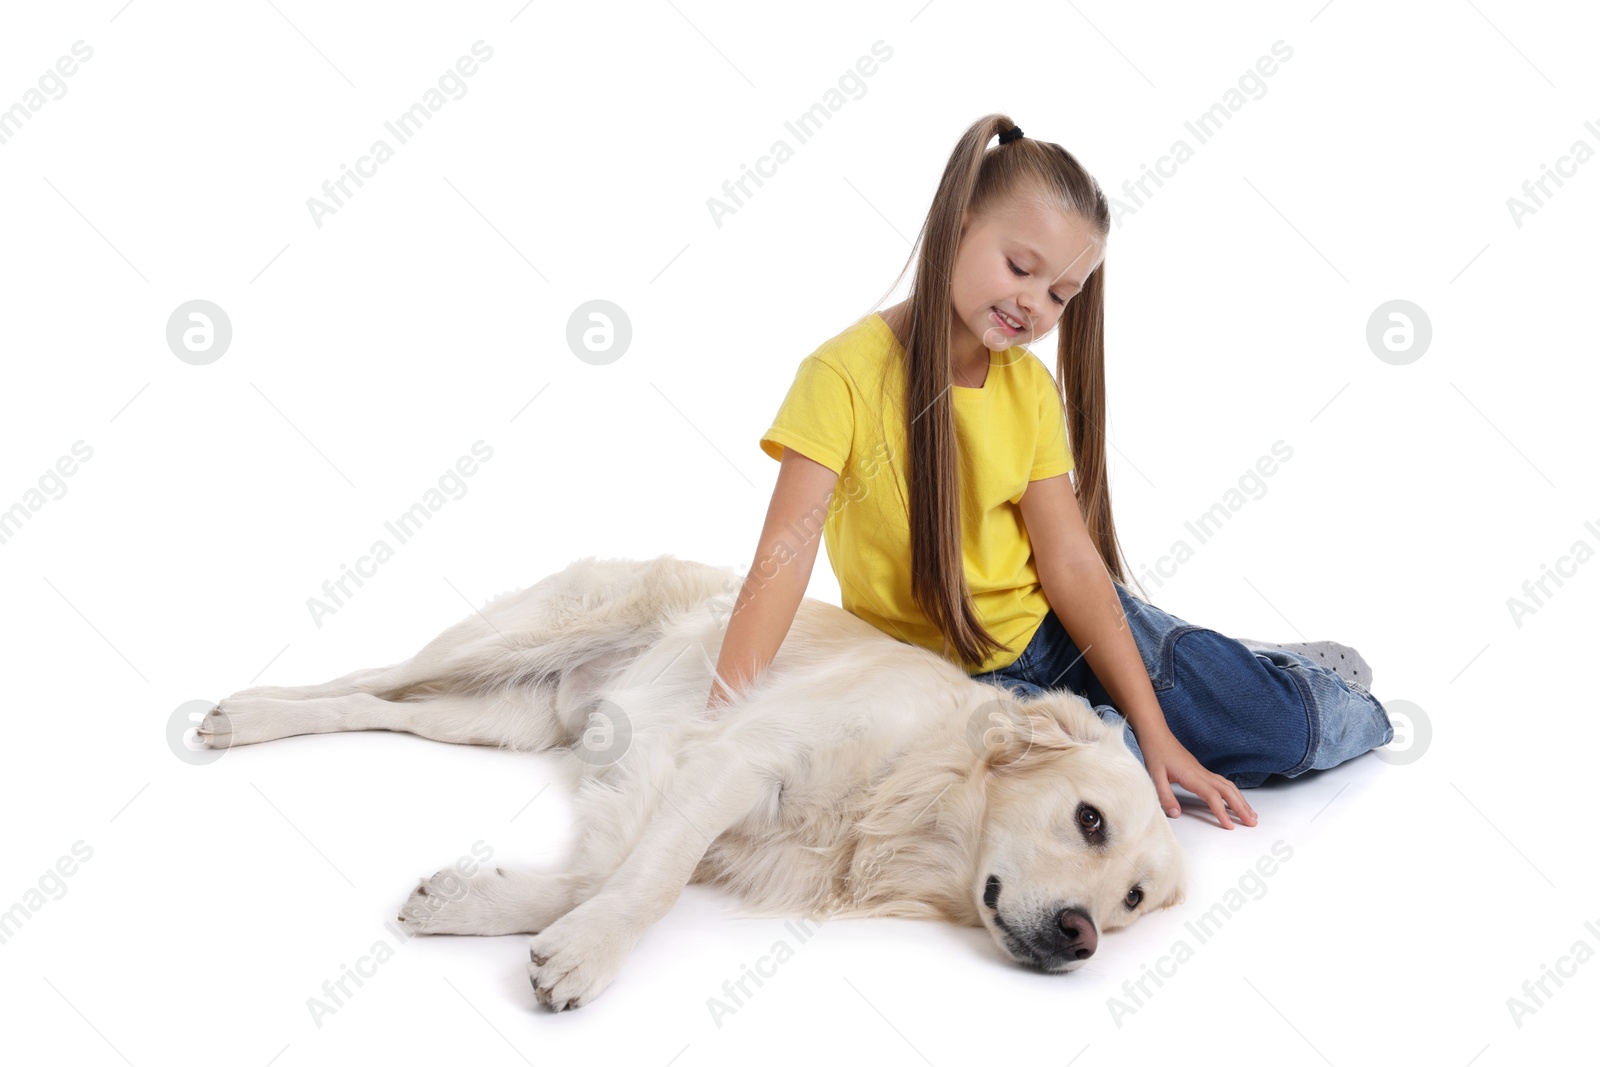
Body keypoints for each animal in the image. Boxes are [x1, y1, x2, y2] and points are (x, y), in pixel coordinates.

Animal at [203, 556, 1190, 1017]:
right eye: (1089, 820)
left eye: (1133, 900)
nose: (1082, 936)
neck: (912, 787)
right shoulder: (741, 758)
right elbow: (649, 883)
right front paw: (586, 954)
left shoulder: (681, 796)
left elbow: (599, 874)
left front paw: (473, 904)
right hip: (504, 643)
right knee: (364, 676)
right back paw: (240, 712)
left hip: (493, 716)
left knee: (377, 704)